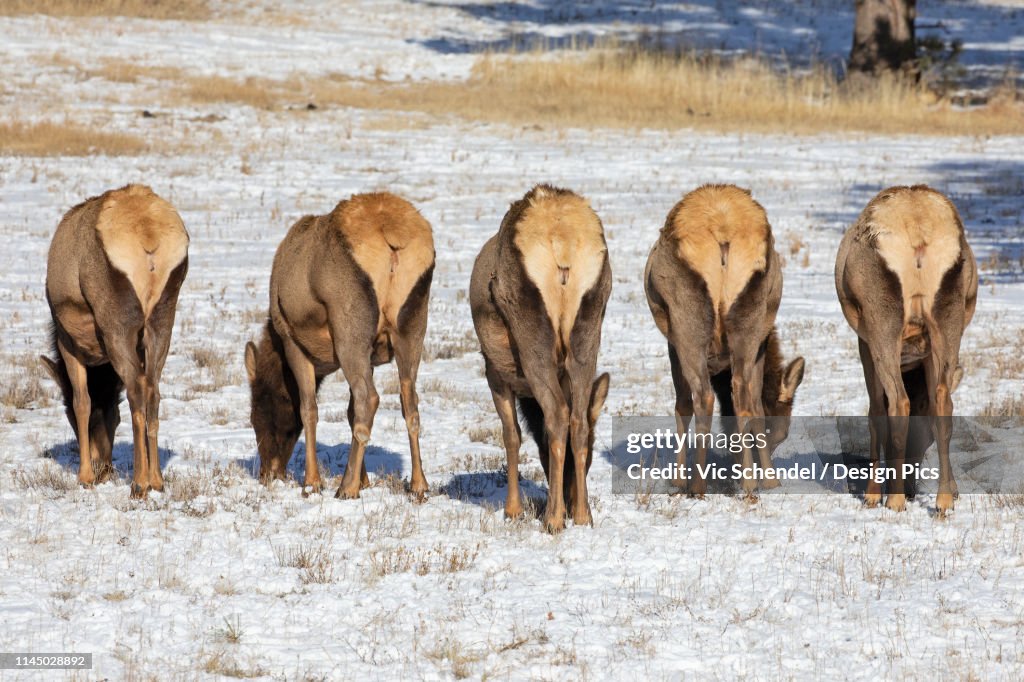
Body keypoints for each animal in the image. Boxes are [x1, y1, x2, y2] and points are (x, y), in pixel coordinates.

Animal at [42, 184, 189, 498]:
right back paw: (157, 480)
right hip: (163, 315)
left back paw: (139, 483)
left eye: (67, 417)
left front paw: (84, 476)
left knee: (136, 388)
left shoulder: (67, 341)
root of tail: (149, 238)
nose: (103, 468)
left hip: (117, 319)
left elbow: (82, 401)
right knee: (153, 389)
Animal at [245, 192, 434, 500]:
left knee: (369, 398)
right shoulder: (372, 354)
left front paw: (312, 482)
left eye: (256, 415)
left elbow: (308, 409)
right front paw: (365, 479)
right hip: (413, 324)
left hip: (349, 328)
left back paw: (346, 488)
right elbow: (348, 411)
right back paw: (418, 485)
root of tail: (393, 237)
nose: (268, 473)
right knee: (409, 401)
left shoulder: (293, 340)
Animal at [470, 184, 611, 533]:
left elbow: (512, 436)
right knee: (577, 419)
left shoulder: (495, 372)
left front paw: (513, 510)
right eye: (591, 459)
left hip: (531, 331)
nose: (571, 503)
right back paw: (582, 516)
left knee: (557, 414)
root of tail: (562, 243)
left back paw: (553, 518)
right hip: (590, 326)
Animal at [644, 184, 805, 498]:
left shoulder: (672, 343)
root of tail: (723, 234)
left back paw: (696, 485)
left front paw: (676, 479)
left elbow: (682, 405)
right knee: (743, 394)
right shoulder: (761, 343)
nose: (765, 473)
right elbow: (754, 406)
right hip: (750, 316)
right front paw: (767, 478)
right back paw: (751, 483)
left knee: (702, 397)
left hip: (687, 320)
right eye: (780, 433)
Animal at [835, 185, 977, 514]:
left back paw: (894, 499)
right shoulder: (924, 353)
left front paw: (873, 494)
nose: (913, 490)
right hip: (947, 320)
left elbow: (875, 411)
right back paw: (942, 501)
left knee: (898, 402)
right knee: (944, 402)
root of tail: (918, 233)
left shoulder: (864, 342)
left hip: (882, 321)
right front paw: (955, 490)